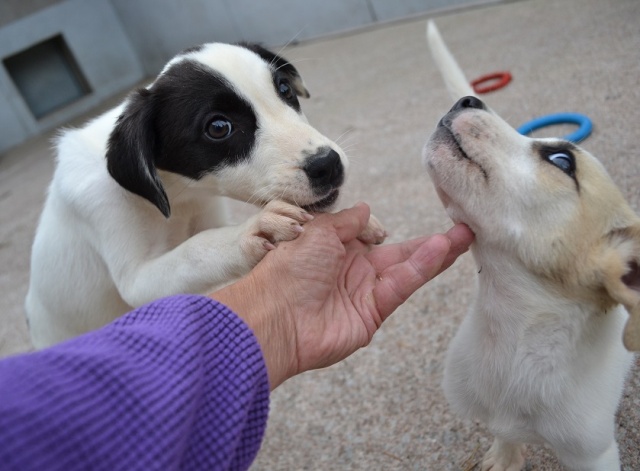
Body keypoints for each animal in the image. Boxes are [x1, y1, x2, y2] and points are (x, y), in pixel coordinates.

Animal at [26, 42, 386, 349]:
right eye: (218, 127)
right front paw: (252, 230)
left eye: (284, 89)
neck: (177, 195)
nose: (328, 165)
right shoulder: (134, 273)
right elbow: (196, 250)